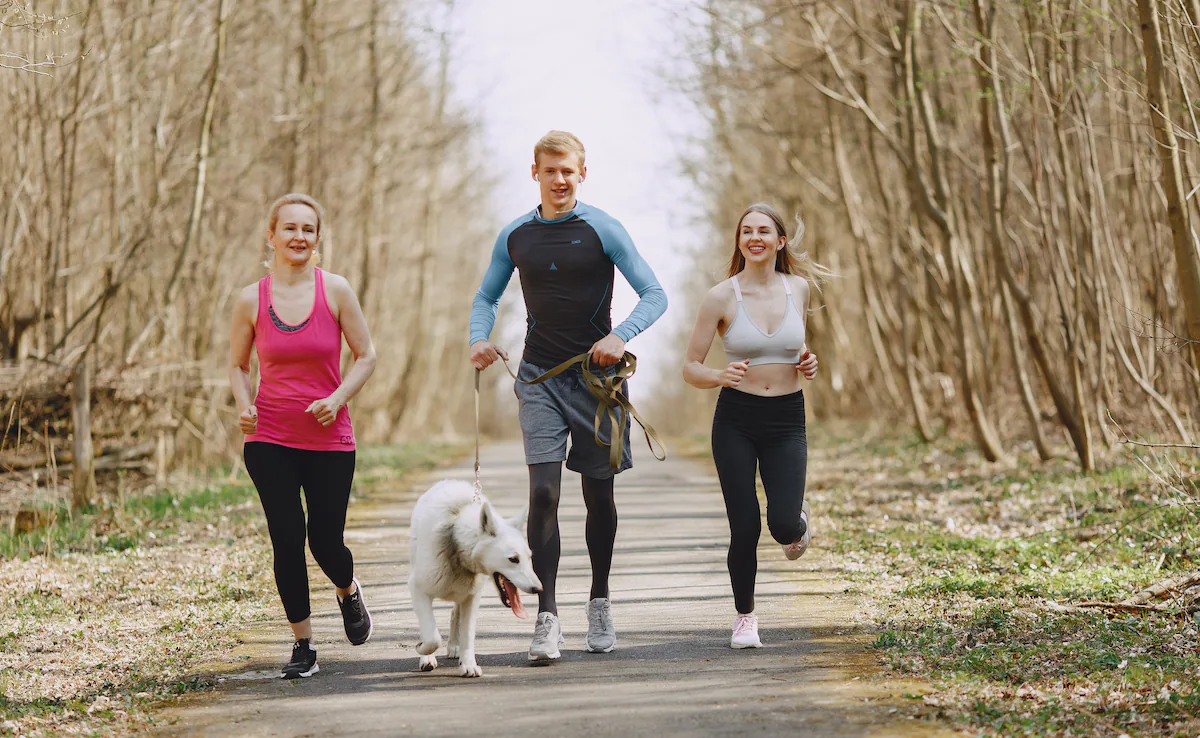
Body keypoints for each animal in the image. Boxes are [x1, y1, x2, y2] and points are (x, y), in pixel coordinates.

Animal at [412, 482, 544, 676]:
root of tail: (450, 482)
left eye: (529, 558)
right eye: (513, 559)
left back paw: (454, 646)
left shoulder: (471, 598)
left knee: (454, 613)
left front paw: (468, 665)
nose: (539, 589)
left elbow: (467, 634)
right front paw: (424, 651)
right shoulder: (418, 590)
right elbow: (432, 635)